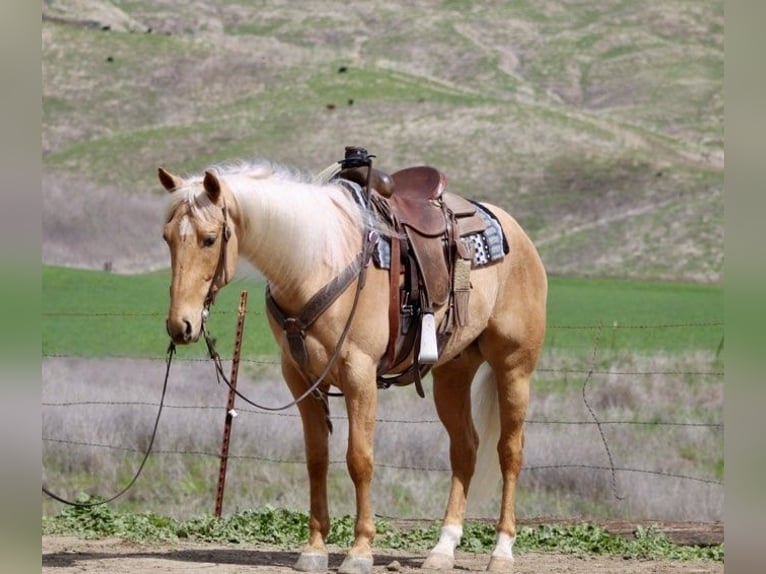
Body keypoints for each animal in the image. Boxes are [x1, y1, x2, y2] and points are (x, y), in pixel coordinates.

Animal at [159, 158, 547, 574]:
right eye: (167, 238)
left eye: (209, 238)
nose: (181, 325)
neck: (315, 262)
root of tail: (515, 231)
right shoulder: (300, 378)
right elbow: (317, 459)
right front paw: (314, 549)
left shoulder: (359, 375)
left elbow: (359, 460)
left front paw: (360, 551)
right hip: (452, 372)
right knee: (465, 449)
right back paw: (443, 548)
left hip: (514, 369)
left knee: (510, 451)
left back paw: (502, 550)